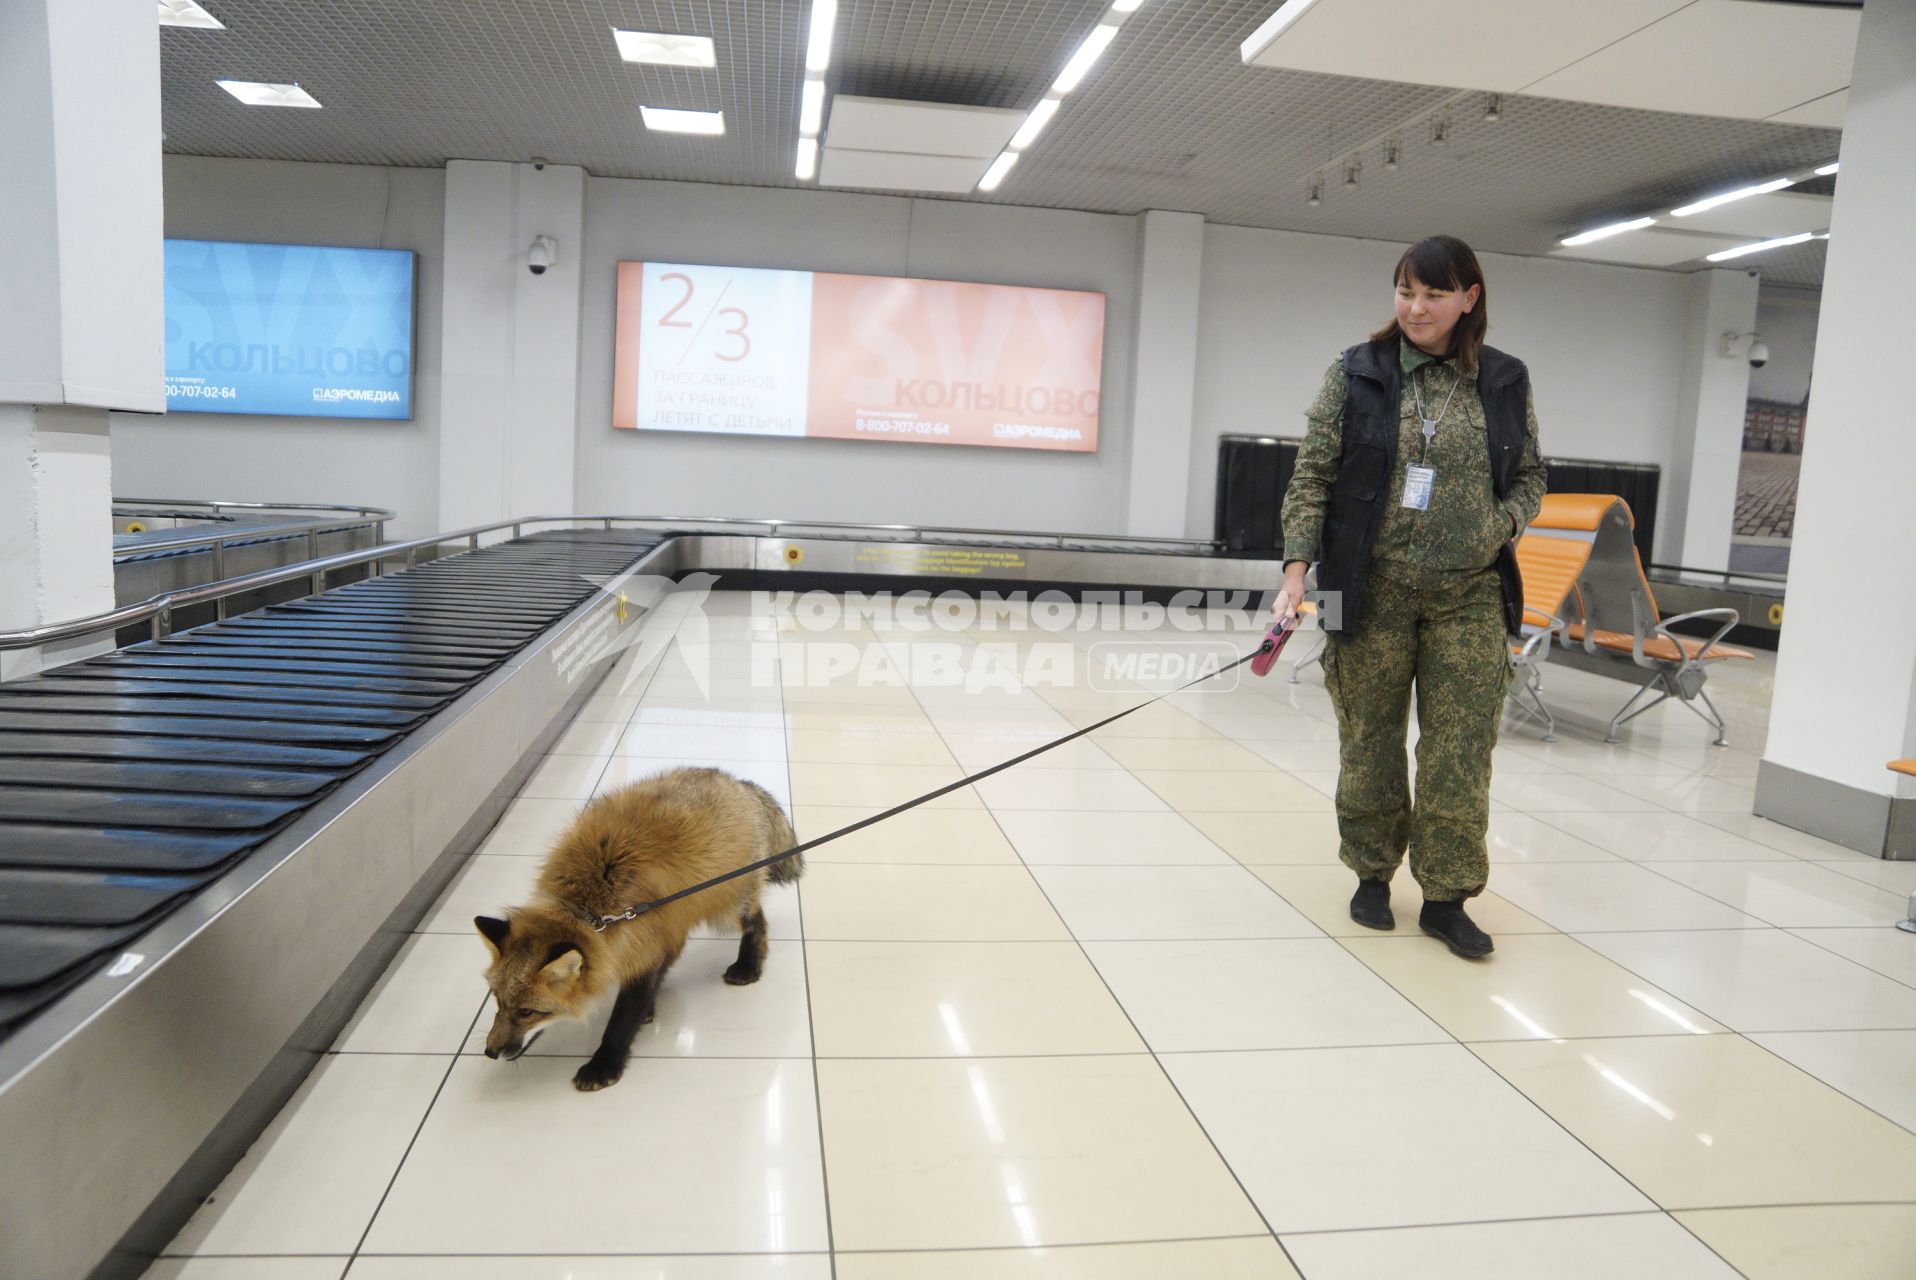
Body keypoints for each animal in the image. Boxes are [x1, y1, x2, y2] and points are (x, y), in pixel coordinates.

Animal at [479, 770, 808, 1088]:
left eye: (527, 1012)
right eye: (497, 1002)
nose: (490, 1052)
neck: (588, 911)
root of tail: (736, 781)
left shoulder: (644, 944)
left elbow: (622, 1018)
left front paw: (604, 1064)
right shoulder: (652, 936)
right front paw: (648, 1009)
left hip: (726, 906)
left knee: (758, 921)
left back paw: (748, 965)